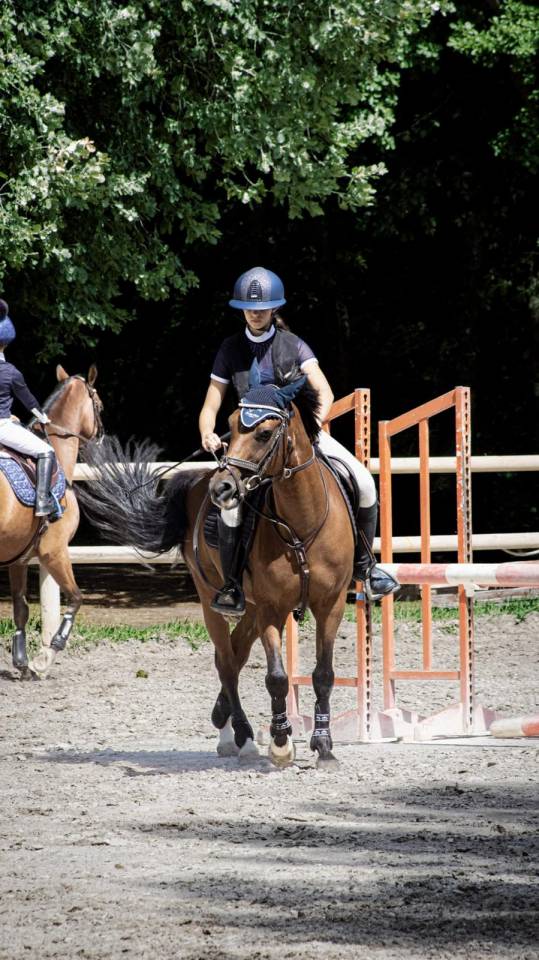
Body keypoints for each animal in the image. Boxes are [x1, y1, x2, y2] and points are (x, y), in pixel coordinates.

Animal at [0, 365, 103, 678]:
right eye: (99, 405)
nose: (102, 436)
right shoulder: (54, 551)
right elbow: (76, 598)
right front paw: (45, 656)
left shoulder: (19, 558)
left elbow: (20, 608)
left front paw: (22, 662)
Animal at [79, 382, 354, 766]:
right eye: (232, 428)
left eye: (264, 433)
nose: (222, 488)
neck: (301, 524)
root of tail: (198, 479)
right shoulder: (271, 608)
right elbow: (276, 678)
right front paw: (281, 743)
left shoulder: (331, 604)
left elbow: (324, 674)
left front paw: (324, 746)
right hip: (214, 598)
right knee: (226, 661)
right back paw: (241, 735)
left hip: (250, 607)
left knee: (235, 655)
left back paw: (225, 721)